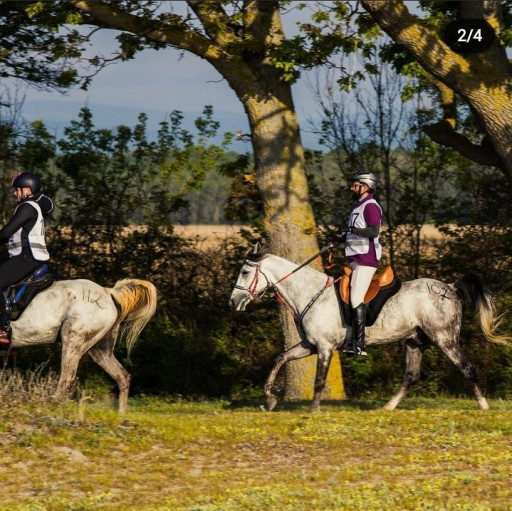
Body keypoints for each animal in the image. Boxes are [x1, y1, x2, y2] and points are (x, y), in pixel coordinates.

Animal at [4, 278, 156, 414]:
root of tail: (108, 292)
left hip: (72, 339)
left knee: (67, 377)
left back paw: (51, 404)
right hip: (99, 350)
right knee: (122, 376)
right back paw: (121, 414)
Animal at [230, 246, 510, 414]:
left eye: (244, 272)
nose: (233, 302)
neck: (311, 293)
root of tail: (450, 288)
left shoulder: (324, 347)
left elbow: (319, 380)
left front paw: (313, 411)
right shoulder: (309, 345)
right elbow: (280, 358)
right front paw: (270, 398)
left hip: (444, 339)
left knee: (467, 367)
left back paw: (483, 405)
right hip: (414, 341)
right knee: (411, 376)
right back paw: (388, 406)